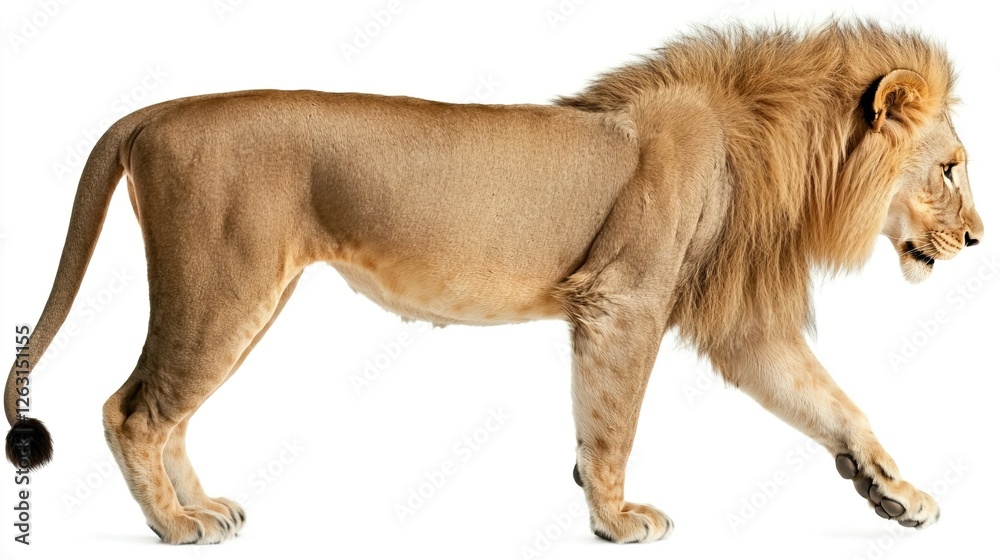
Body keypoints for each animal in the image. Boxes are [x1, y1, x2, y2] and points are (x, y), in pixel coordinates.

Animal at [3, 21, 983, 544]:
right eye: (949, 168)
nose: (978, 239)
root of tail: (157, 109)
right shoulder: (623, 300)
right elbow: (613, 422)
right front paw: (616, 519)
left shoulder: (738, 327)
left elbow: (833, 402)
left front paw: (892, 490)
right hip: (221, 283)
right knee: (132, 408)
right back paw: (173, 528)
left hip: (246, 293)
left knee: (170, 408)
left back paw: (200, 507)